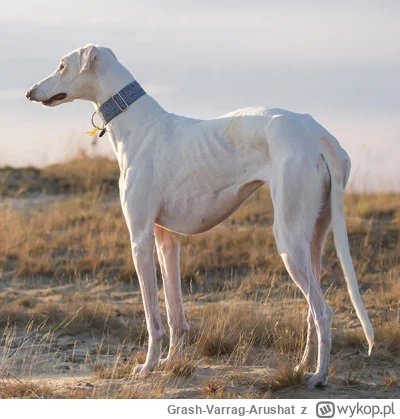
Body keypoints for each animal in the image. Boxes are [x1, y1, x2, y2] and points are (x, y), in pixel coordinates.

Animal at [26, 44, 374, 388]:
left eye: (62, 65)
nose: (29, 91)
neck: (137, 124)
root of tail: (320, 136)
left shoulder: (140, 238)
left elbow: (153, 318)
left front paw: (148, 367)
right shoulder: (166, 239)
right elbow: (174, 313)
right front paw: (171, 362)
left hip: (288, 238)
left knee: (323, 311)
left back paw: (319, 376)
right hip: (313, 236)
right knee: (312, 309)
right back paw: (302, 366)